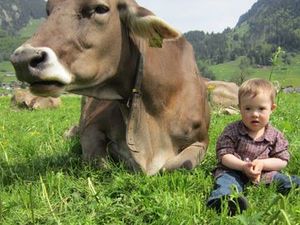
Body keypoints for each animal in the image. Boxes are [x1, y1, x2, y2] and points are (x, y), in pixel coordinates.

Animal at [10, 0, 210, 175]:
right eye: (48, 11)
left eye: (100, 8)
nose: (23, 59)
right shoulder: (92, 127)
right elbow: (100, 162)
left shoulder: (202, 140)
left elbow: (179, 165)